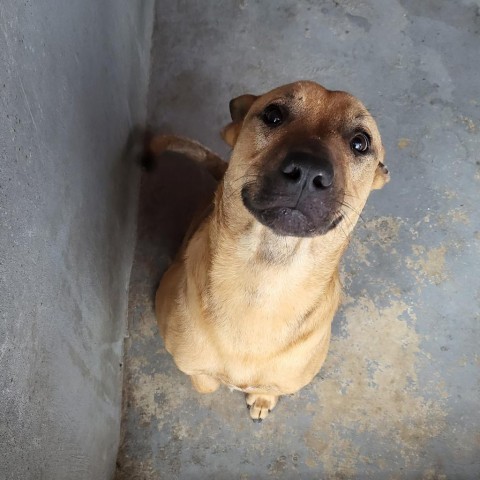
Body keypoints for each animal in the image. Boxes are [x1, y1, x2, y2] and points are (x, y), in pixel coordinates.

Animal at [152, 80, 388, 422]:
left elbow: (267, 388)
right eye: (273, 115)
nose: (308, 171)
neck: (264, 282)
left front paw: (261, 398)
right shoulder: (191, 362)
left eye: (360, 142)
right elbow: (206, 382)